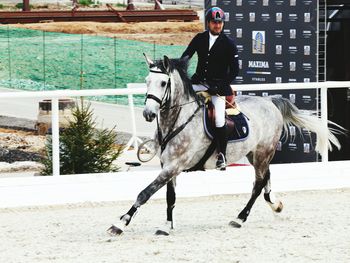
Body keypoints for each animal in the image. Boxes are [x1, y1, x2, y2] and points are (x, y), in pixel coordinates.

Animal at [107, 55, 342, 237]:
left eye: (163, 83)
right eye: (147, 80)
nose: (148, 114)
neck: (175, 120)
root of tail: (270, 101)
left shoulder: (174, 165)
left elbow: (145, 193)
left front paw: (120, 223)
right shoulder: (168, 166)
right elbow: (170, 198)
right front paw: (166, 226)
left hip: (263, 152)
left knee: (258, 184)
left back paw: (240, 218)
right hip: (255, 154)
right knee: (266, 177)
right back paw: (275, 204)